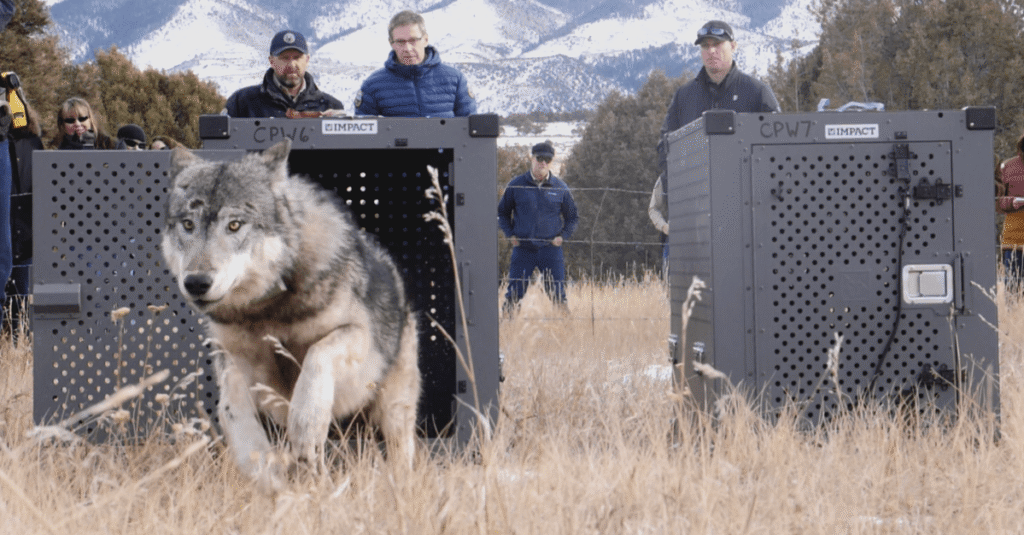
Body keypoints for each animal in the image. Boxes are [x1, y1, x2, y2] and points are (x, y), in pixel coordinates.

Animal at [161, 139, 420, 492]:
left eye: (234, 225)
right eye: (188, 225)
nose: (196, 283)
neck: (268, 311)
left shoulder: (358, 337)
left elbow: (317, 356)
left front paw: (306, 422)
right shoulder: (233, 358)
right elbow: (230, 408)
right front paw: (259, 465)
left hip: (393, 410)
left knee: (400, 453)